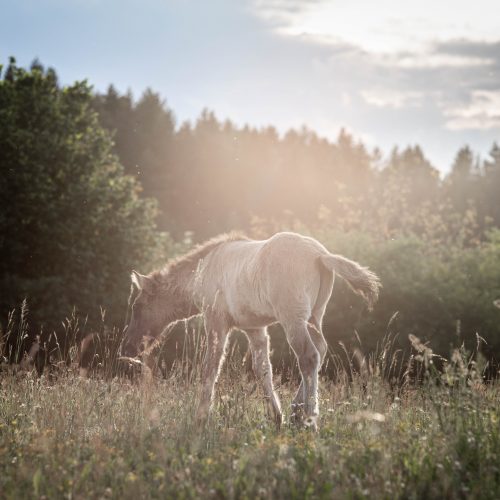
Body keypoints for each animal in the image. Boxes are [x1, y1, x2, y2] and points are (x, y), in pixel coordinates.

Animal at [121, 232, 378, 428]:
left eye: (137, 306)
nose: (127, 347)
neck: (202, 273)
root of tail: (320, 255)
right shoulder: (255, 328)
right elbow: (262, 368)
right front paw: (276, 416)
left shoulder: (216, 322)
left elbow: (210, 367)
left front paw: (201, 418)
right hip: (314, 316)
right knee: (321, 349)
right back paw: (296, 411)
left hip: (293, 318)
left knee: (308, 355)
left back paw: (309, 419)